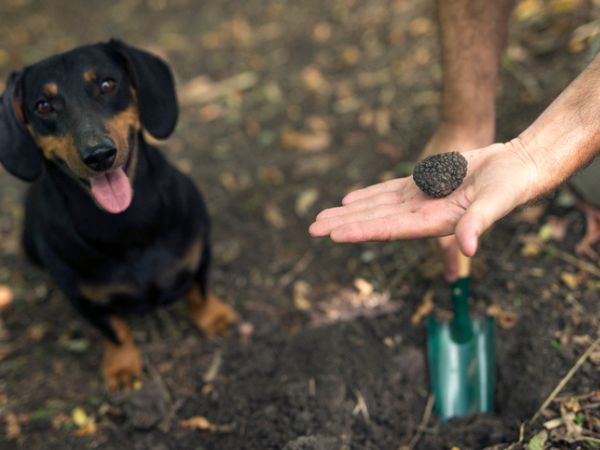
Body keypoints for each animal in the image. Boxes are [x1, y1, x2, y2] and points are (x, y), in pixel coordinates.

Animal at [0, 38, 238, 390]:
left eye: (107, 85)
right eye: (43, 105)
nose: (99, 155)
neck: (126, 225)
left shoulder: (200, 253)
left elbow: (200, 291)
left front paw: (215, 317)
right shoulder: (84, 300)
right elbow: (114, 331)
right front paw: (122, 366)